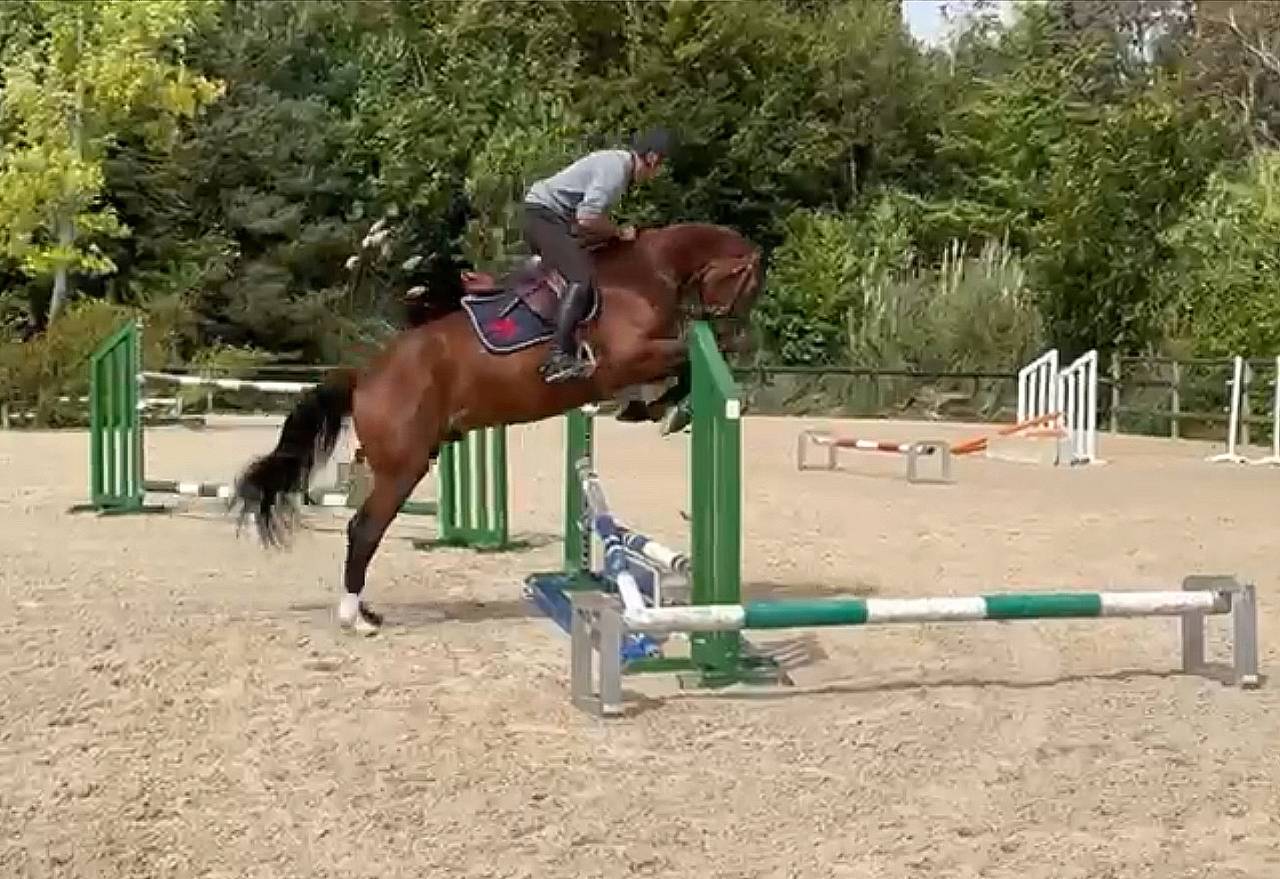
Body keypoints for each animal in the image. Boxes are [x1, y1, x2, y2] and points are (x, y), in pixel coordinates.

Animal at [231, 221, 764, 634]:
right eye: (748, 286)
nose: (737, 329)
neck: (641, 276)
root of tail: (366, 377)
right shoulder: (627, 360)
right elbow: (686, 360)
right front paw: (671, 410)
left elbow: (681, 366)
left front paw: (655, 409)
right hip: (403, 468)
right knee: (363, 530)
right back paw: (355, 618)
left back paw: (364, 612)